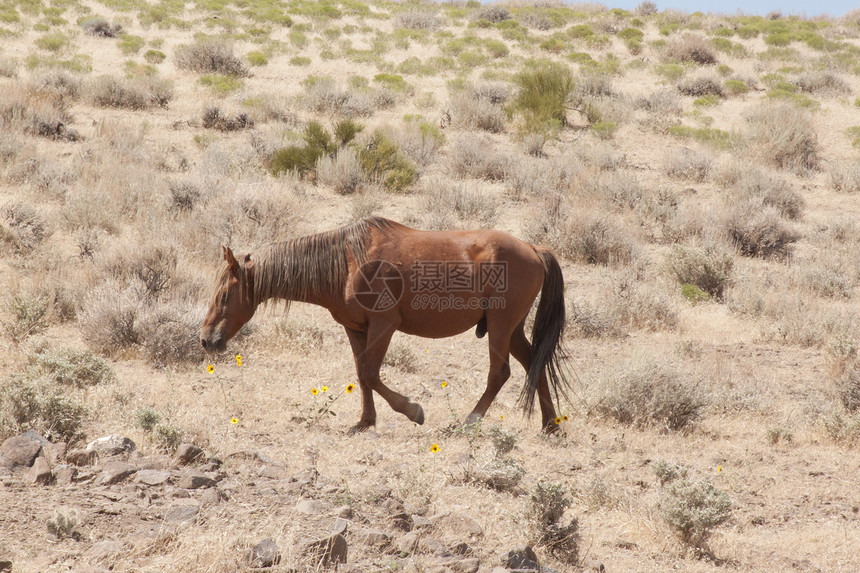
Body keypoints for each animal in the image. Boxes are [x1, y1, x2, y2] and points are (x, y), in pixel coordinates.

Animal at [202, 217, 572, 432]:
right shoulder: (356, 329)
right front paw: (365, 422)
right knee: (534, 363)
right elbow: (361, 374)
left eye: (225, 295)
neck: (347, 262)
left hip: (500, 325)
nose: (207, 340)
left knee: (501, 372)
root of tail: (533, 249)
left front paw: (413, 411)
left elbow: (369, 372)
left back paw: (468, 422)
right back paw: (549, 424)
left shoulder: (384, 325)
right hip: (511, 329)